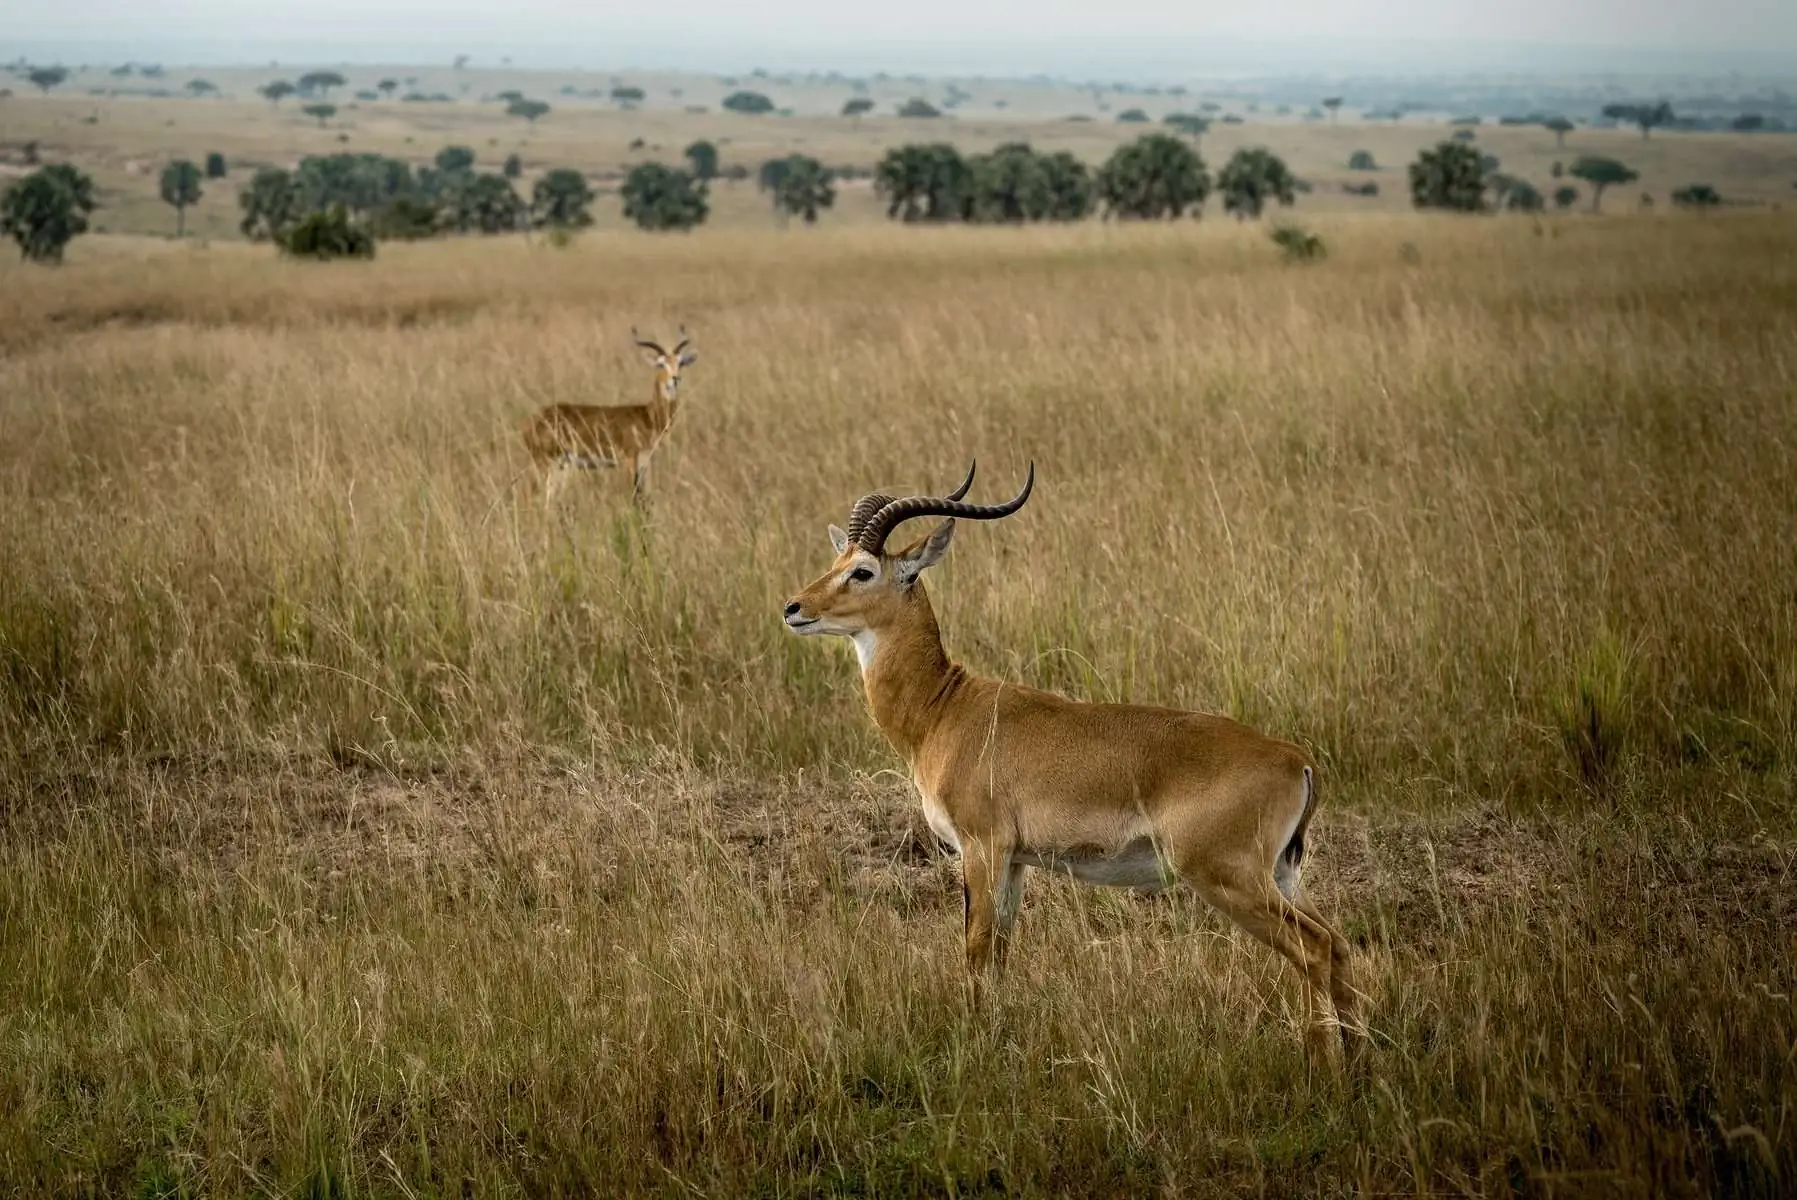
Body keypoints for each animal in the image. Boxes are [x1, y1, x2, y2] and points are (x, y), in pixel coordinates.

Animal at [524, 325, 697, 502]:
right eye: (661, 364)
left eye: (680, 362)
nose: (675, 379)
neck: (647, 416)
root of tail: (532, 422)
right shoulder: (628, 462)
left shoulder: (643, 465)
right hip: (547, 464)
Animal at [783, 459, 1358, 1056]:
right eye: (837, 561)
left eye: (863, 571)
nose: (793, 609)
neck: (945, 708)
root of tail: (1295, 757)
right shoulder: (1014, 861)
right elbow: (1000, 951)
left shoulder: (982, 848)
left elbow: (976, 947)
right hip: (1281, 875)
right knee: (1338, 945)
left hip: (1229, 878)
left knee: (1314, 948)